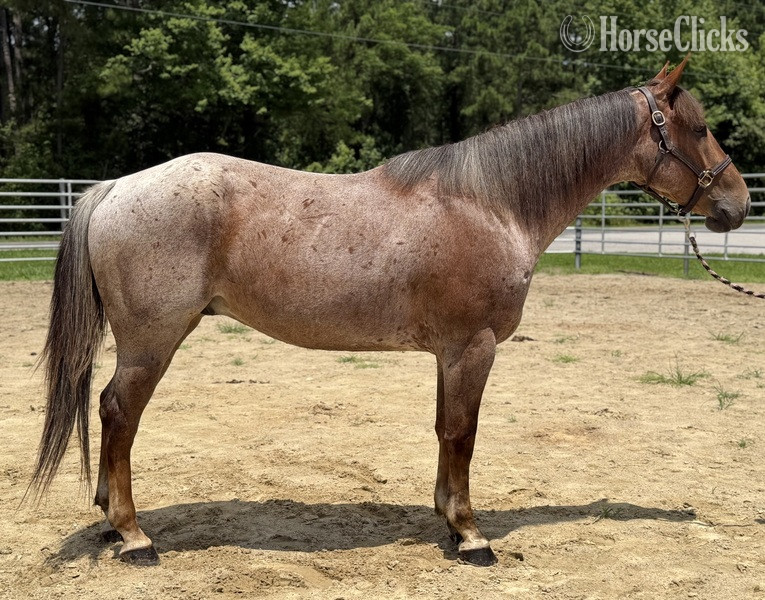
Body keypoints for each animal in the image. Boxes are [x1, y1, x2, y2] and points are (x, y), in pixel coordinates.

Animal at [31, 57, 750, 567]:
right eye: (700, 128)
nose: (738, 204)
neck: (490, 203)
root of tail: (116, 188)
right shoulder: (474, 347)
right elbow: (463, 433)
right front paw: (470, 536)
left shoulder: (450, 353)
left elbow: (443, 431)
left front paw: (447, 519)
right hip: (152, 342)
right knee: (118, 413)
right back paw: (133, 536)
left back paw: (110, 520)